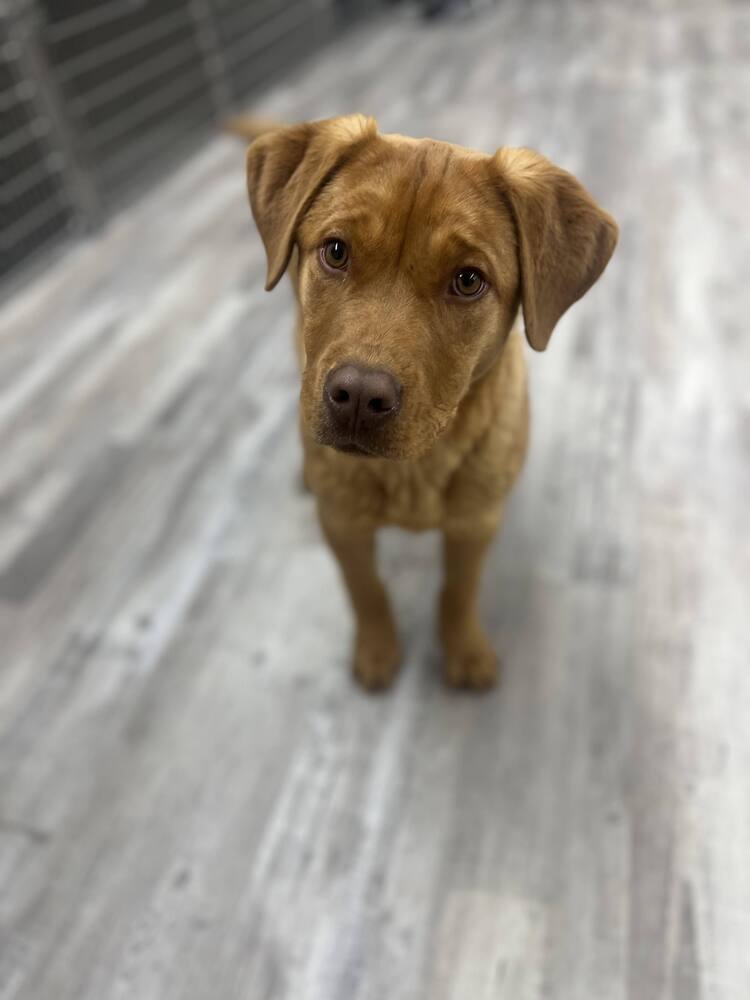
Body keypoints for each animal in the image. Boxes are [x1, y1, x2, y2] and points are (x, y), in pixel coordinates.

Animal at [232, 115, 620, 688]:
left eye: (468, 280)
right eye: (336, 251)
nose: (358, 397)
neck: (415, 470)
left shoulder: (475, 525)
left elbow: (459, 590)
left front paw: (463, 649)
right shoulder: (343, 525)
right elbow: (365, 590)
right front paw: (376, 650)